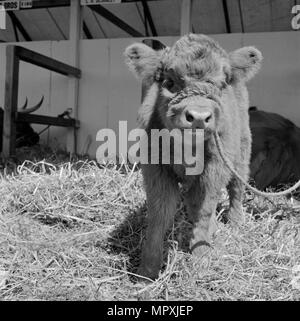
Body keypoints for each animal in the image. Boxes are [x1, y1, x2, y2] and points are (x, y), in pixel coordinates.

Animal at [124, 33, 262, 278]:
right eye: (169, 82)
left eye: (221, 84)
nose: (198, 116)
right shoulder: (156, 168)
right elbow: (160, 212)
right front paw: (147, 269)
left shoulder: (215, 167)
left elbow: (205, 207)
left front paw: (201, 257)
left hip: (242, 150)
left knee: (236, 186)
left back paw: (235, 222)